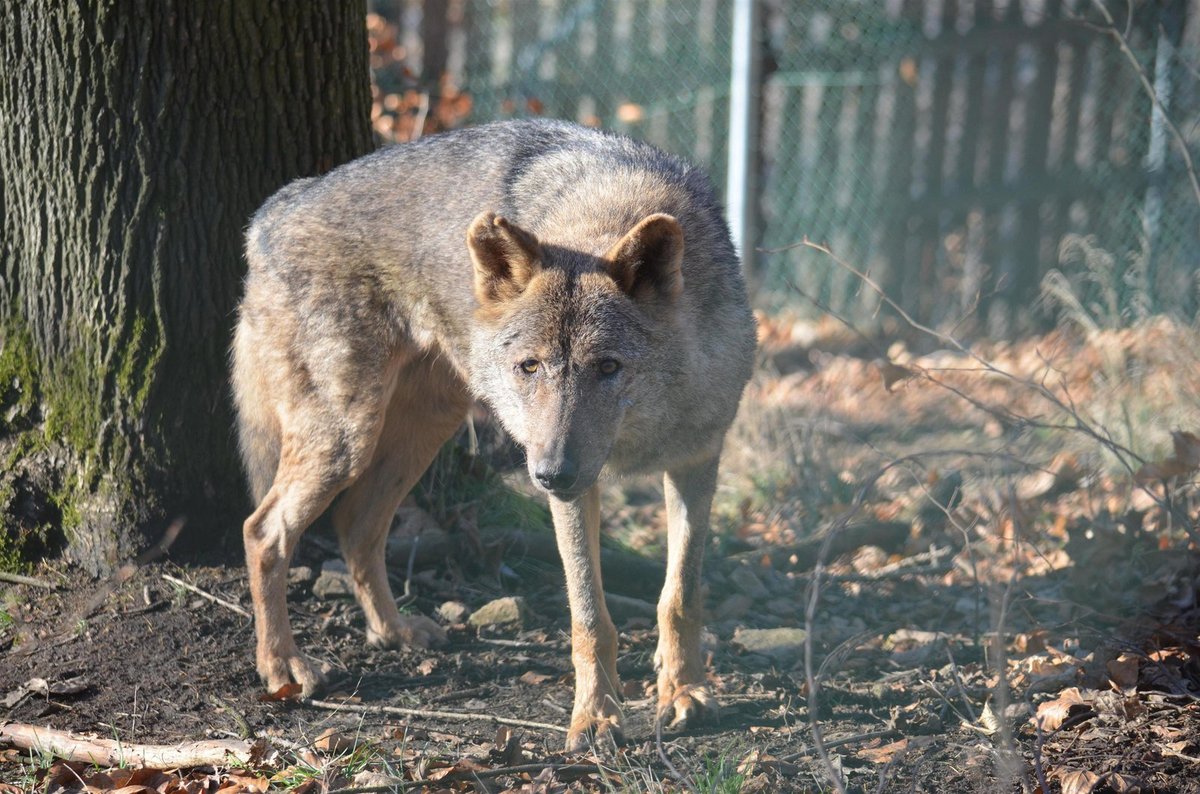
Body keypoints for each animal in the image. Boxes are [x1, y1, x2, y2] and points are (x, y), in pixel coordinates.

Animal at [232, 119, 753, 753]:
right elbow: (590, 618)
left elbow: (680, 597)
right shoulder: (576, 489)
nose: (548, 473)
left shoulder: (697, 461)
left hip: (424, 427)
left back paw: (395, 631)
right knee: (263, 530)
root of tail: (271, 212)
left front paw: (684, 693)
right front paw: (595, 718)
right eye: (530, 367)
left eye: (607, 367)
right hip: (347, 437)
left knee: (356, 525)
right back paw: (282, 667)